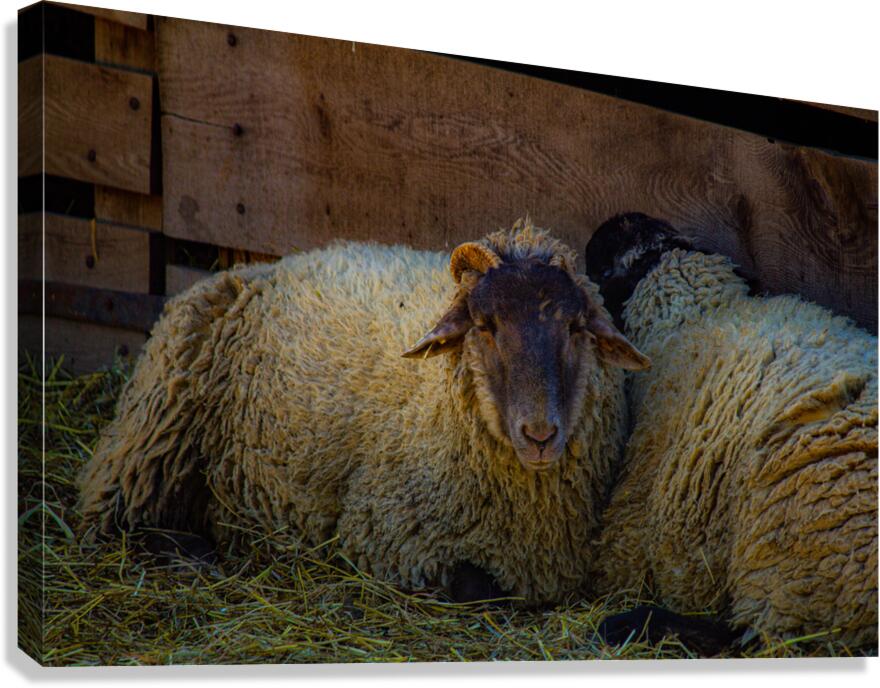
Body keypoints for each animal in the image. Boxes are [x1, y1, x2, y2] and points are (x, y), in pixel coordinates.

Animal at [77, 219, 651, 604]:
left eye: (575, 327)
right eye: (485, 325)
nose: (539, 434)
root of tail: (254, 266)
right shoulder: (389, 534)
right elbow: (478, 588)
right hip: (152, 435)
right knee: (115, 519)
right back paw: (199, 554)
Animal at [584, 212, 878, 647]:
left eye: (598, 271)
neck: (700, 313)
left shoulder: (639, 502)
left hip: (796, 560)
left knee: (750, 636)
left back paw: (633, 623)